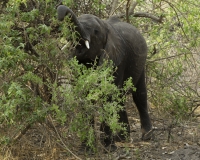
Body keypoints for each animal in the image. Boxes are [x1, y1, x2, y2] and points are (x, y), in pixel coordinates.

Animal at [57, 5, 152, 149]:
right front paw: (87, 148)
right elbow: (85, 96)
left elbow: (107, 96)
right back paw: (122, 138)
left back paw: (146, 136)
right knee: (120, 98)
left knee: (139, 95)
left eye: (95, 31)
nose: (60, 13)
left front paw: (108, 147)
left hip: (141, 63)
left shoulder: (117, 59)